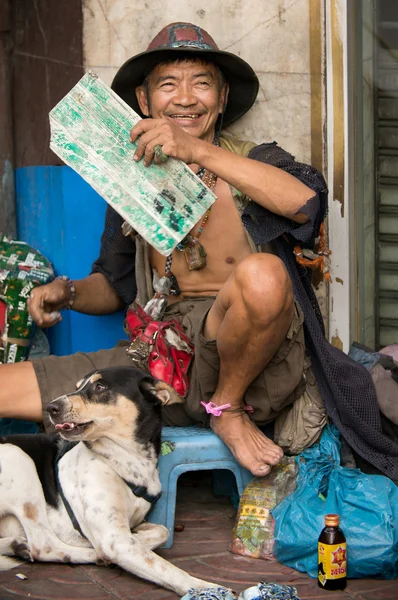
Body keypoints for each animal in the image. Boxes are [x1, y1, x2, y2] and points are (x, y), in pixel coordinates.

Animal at [0, 366, 224, 596]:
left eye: (100, 387)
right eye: (78, 386)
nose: (50, 407)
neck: (126, 462)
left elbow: (162, 530)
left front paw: (140, 536)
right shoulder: (115, 540)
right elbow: (163, 565)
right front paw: (203, 587)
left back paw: (17, 545)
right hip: (18, 458)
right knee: (44, 545)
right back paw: (94, 554)